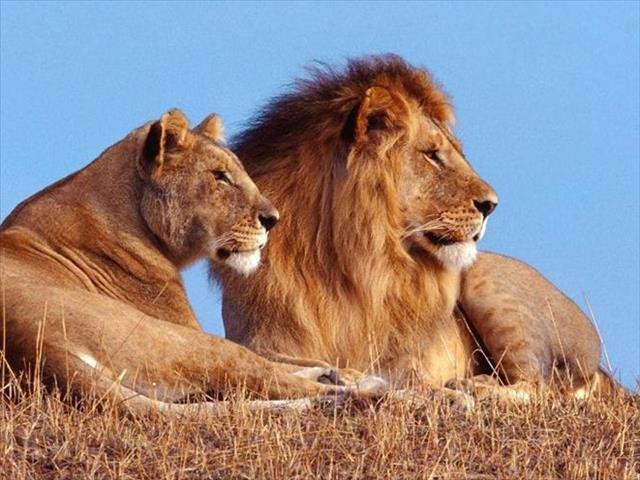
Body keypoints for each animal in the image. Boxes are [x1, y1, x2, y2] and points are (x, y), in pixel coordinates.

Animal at [0, 108, 386, 415]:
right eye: (220, 176)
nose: (273, 219)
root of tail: (34, 347)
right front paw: (345, 376)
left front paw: (332, 369)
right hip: (185, 342)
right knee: (271, 380)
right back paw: (367, 390)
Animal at [217, 55, 614, 400]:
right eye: (432, 155)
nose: (492, 204)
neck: (342, 262)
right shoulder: (255, 338)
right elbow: (272, 360)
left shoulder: (406, 357)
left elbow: (405, 375)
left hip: (486, 278)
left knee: (537, 387)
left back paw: (473, 386)